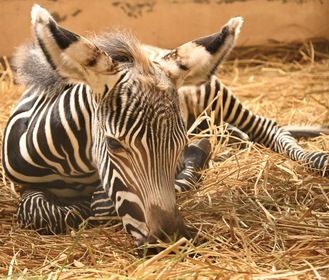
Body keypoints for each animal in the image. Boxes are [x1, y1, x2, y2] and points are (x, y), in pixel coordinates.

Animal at [1, 4, 326, 249]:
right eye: (113, 144)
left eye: (179, 145)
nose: (171, 240)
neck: (74, 168)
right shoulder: (25, 186)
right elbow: (41, 212)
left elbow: (104, 204)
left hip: (213, 94)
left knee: (269, 127)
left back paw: (317, 159)